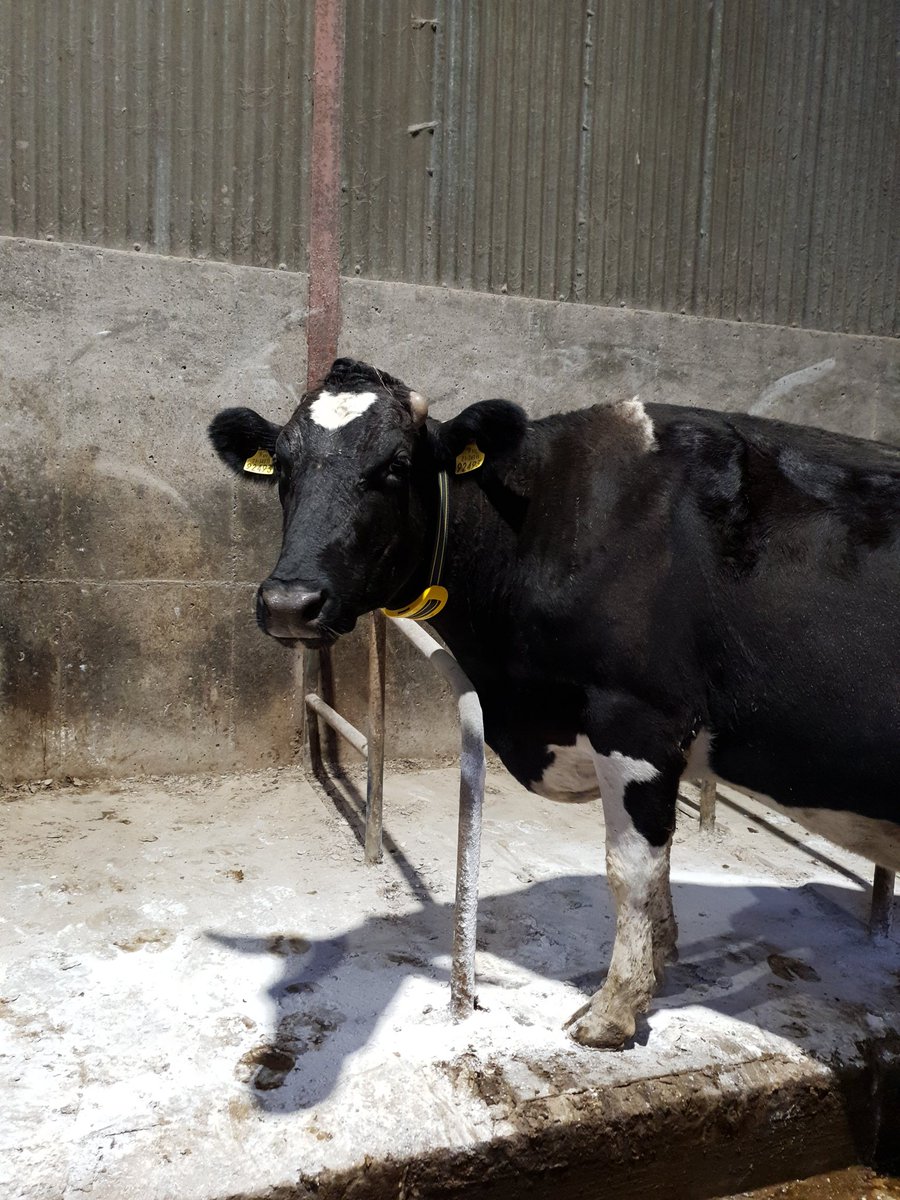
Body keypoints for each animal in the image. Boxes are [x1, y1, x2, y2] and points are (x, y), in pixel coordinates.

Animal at [209, 356, 900, 1049]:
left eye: (395, 465)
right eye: (284, 466)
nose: (290, 603)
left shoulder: (638, 717)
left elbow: (632, 868)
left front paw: (614, 1009)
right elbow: (660, 863)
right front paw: (661, 960)